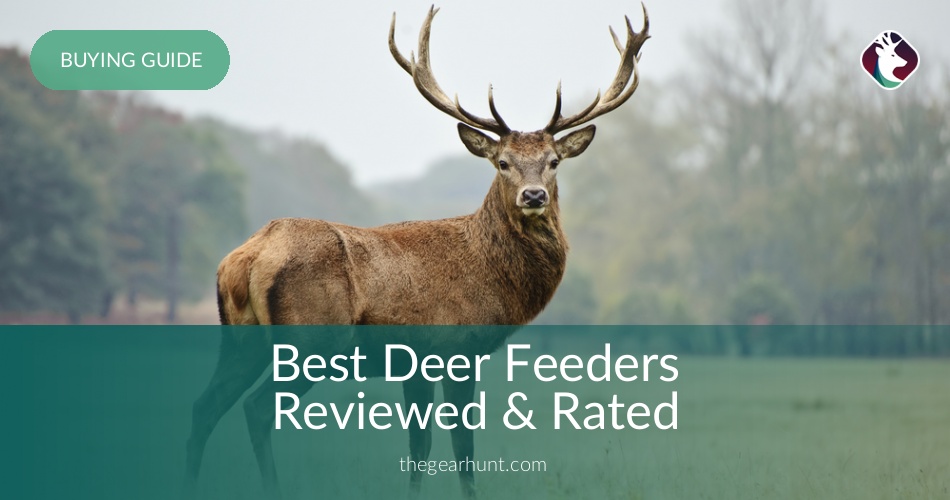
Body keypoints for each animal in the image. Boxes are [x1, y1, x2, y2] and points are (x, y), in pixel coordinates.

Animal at [182, 4, 649, 499]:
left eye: (554, 161)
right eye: (502, 163)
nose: (534, 195)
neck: (493, 278)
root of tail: (248, 256)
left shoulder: (415, 365)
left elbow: (419, 447)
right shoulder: (454, 347)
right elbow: (461, 446)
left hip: (237, 338)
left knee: (204, 406)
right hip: (310, 339)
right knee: (256, 408)